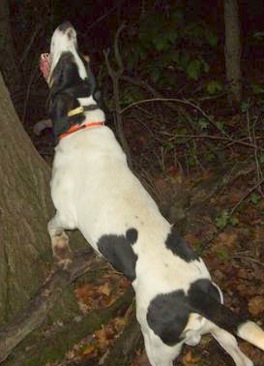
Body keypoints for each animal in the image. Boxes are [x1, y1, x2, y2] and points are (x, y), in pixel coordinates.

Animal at [42, 22, 264, 366]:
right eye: (84, 57)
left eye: (67, 62)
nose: (68, 26)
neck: (84, 123)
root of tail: (196, 296)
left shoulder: (66, 214)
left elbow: (52, 226)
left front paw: (61, 254)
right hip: (221, 328)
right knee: (243, 359)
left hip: (156, 343)